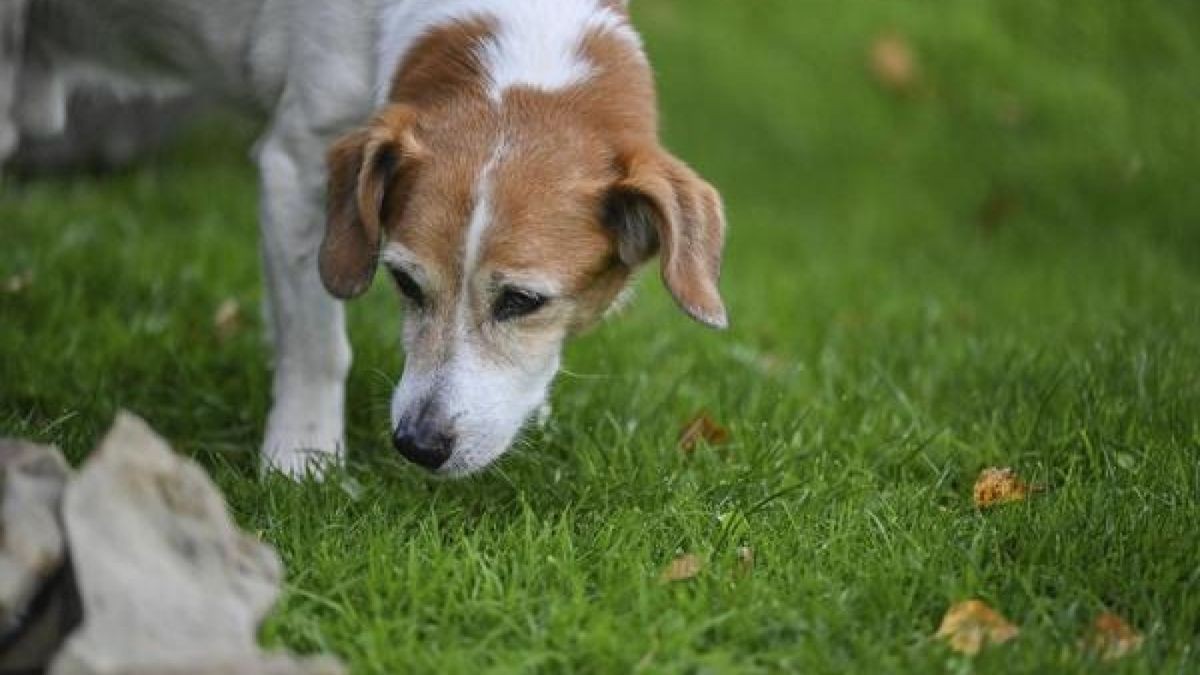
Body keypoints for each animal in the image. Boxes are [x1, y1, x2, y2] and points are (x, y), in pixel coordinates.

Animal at [4, 0, 724, 475]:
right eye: (403, 281)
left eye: (523, 301)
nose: (417, 445)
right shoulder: (297, 169)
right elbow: (318, 346)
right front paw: (302, 461)